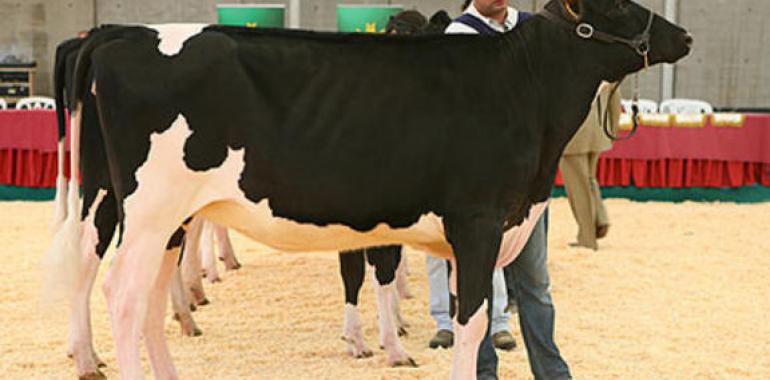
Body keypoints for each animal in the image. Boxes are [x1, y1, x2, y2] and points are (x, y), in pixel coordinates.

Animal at [43, 1, 688, 378]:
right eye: (619, 4)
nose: (681, 34)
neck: (521, 86)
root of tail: (117, 35)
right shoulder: (478, 221)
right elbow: (471, 321)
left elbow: (466, 319)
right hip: (144, 208)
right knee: (119, 292)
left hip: (162, 216)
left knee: (146, 295)